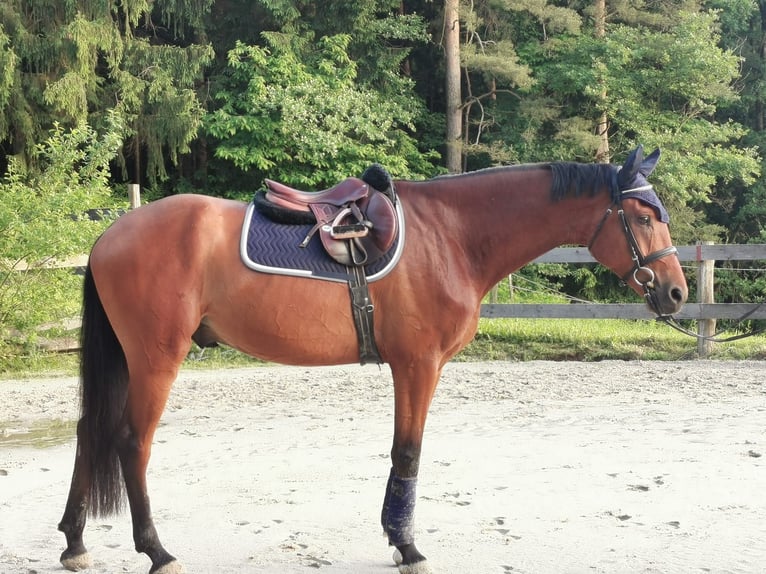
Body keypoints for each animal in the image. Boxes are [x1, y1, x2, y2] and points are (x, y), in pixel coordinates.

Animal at [57, 146, 688, 572]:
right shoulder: (418, 364)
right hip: (155, 358)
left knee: (91, 431)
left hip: (128, 360)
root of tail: (109, 235)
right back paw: (157, 551)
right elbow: (408, 451)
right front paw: (407, 544)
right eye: (643, 216)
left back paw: (75, 541)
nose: (676, 293)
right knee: (131, 442)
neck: (451, 236)